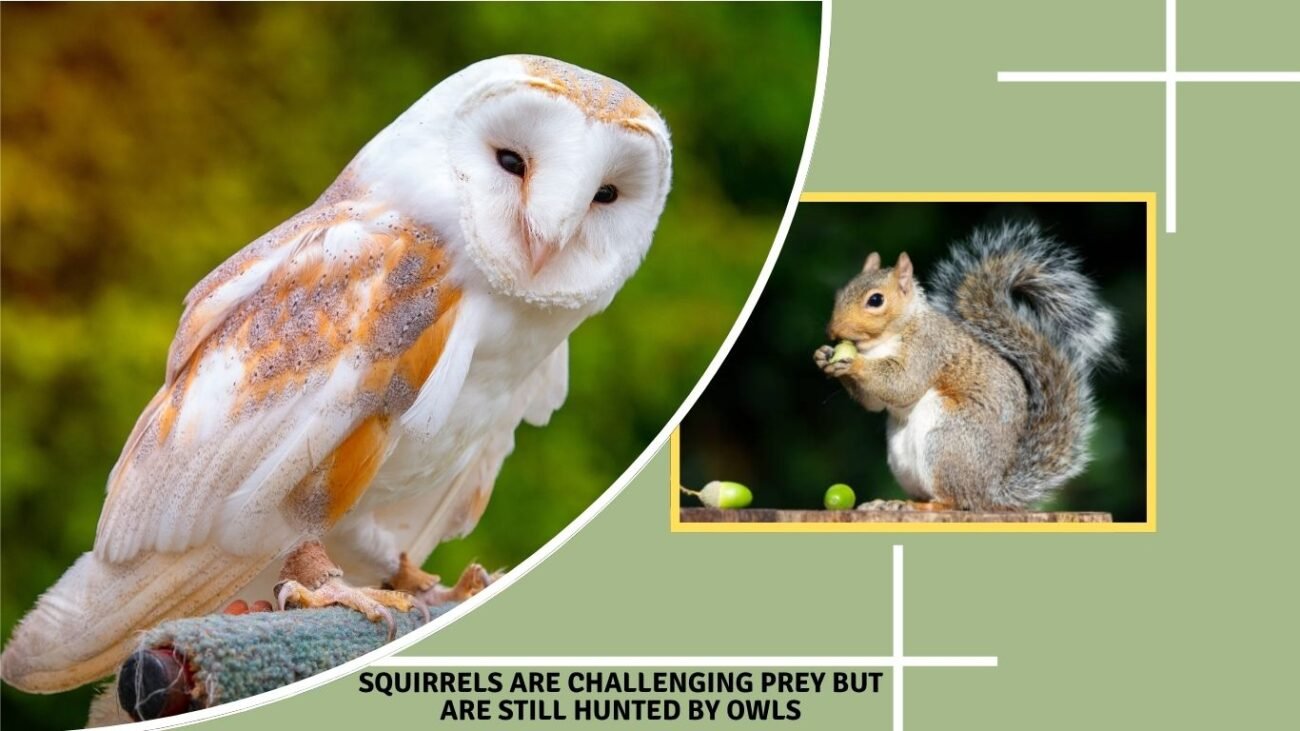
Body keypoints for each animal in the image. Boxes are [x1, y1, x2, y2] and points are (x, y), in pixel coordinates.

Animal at [813, 222, 1118, 511]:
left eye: (876, 300)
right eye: (841, 293)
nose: (832, 331)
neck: (883, 341)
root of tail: (991, 491)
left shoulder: (928, 347)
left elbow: (903, 383)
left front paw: (853, 362)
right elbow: (875, 403)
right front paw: (823, 355)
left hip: (946, 442)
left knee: (956, 500)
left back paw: (925, 506)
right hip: (902, 456)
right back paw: (890, 503)